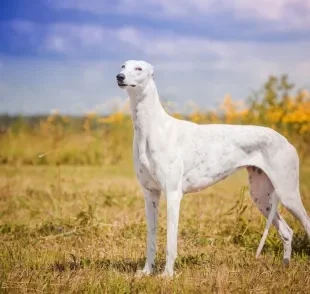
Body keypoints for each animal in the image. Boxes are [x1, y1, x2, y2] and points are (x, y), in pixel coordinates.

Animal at [116, 59, 310, 276]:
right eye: (123, 66)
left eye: (138, 68)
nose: (119, 77)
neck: (151, 127)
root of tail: (286, 141)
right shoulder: (150, 194)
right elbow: (150, 239)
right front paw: (146, 272)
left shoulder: (173, 195)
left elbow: (170, 243)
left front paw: (167, 275)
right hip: (261, 197)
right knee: (287, 231)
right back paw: (285, 265)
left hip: (288, 194)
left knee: (306, 224)